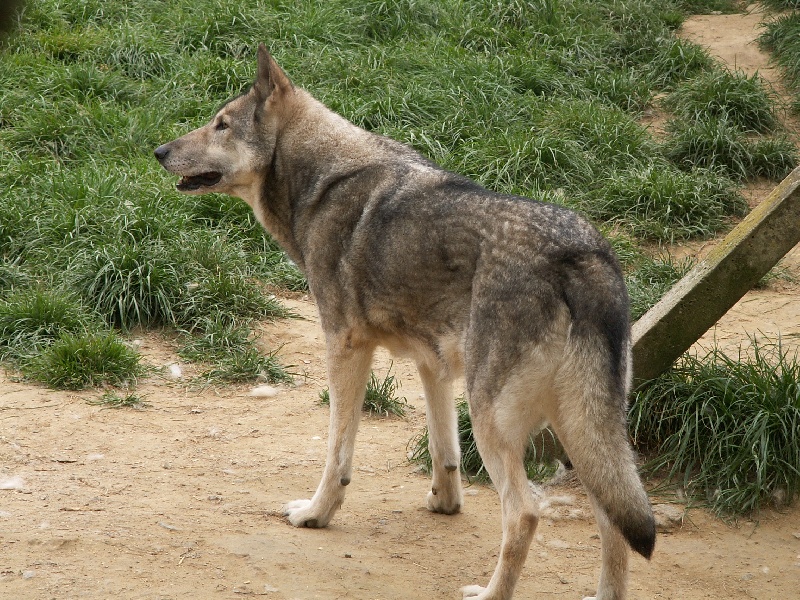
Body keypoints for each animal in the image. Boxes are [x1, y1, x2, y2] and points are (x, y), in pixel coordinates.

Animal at [156, 44, 656, 596]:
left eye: (221, 124)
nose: (158, 150)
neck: (323, 181)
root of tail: (583, 255)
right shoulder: (432, 364)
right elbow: (444, 449)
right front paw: (444, 503)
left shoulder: (344, 345)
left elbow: (337, 454)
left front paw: (315, 514)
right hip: (581, 430)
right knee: (613, 518)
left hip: (497, 418)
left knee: (525, 514)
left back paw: (488, 592)